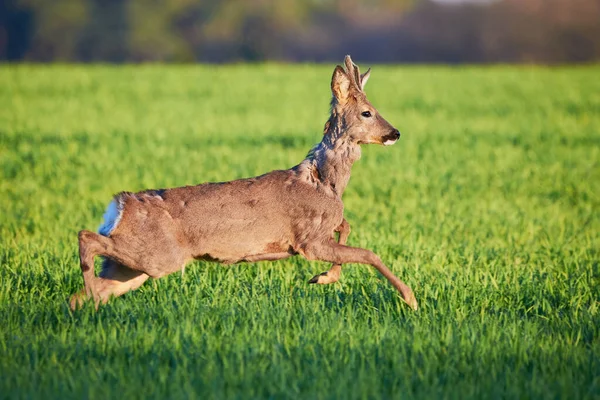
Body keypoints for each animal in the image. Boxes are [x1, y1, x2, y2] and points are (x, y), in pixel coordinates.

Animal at [69, 56, 418, 310]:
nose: (395, 133)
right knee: (86, 238)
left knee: (83, 294)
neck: (325, 182)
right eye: (367, 112)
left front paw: (322, 277)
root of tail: (119, 206)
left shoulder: (318, 235)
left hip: (133, 268)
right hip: (157, 256)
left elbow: (346, 227)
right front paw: (409, 298)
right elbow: (369, 253)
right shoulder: (308, 240)